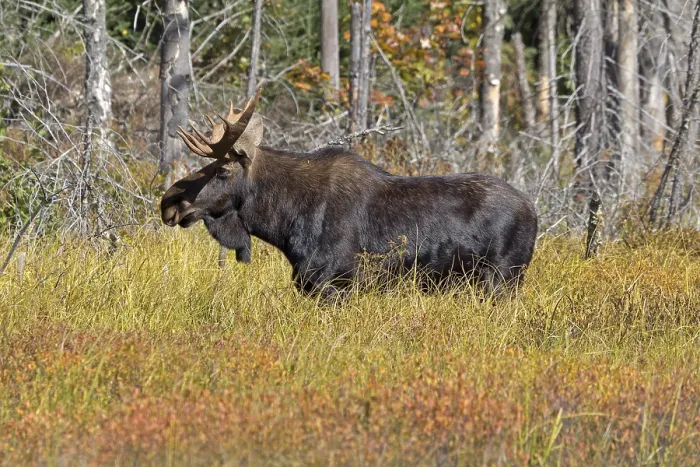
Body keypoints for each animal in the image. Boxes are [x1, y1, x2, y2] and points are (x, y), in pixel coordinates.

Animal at [160, 90, 538, 302]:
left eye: (222, 170)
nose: (169, 202)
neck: (283, 222)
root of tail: (534, 213)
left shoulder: (333, 284)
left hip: (503, 279)